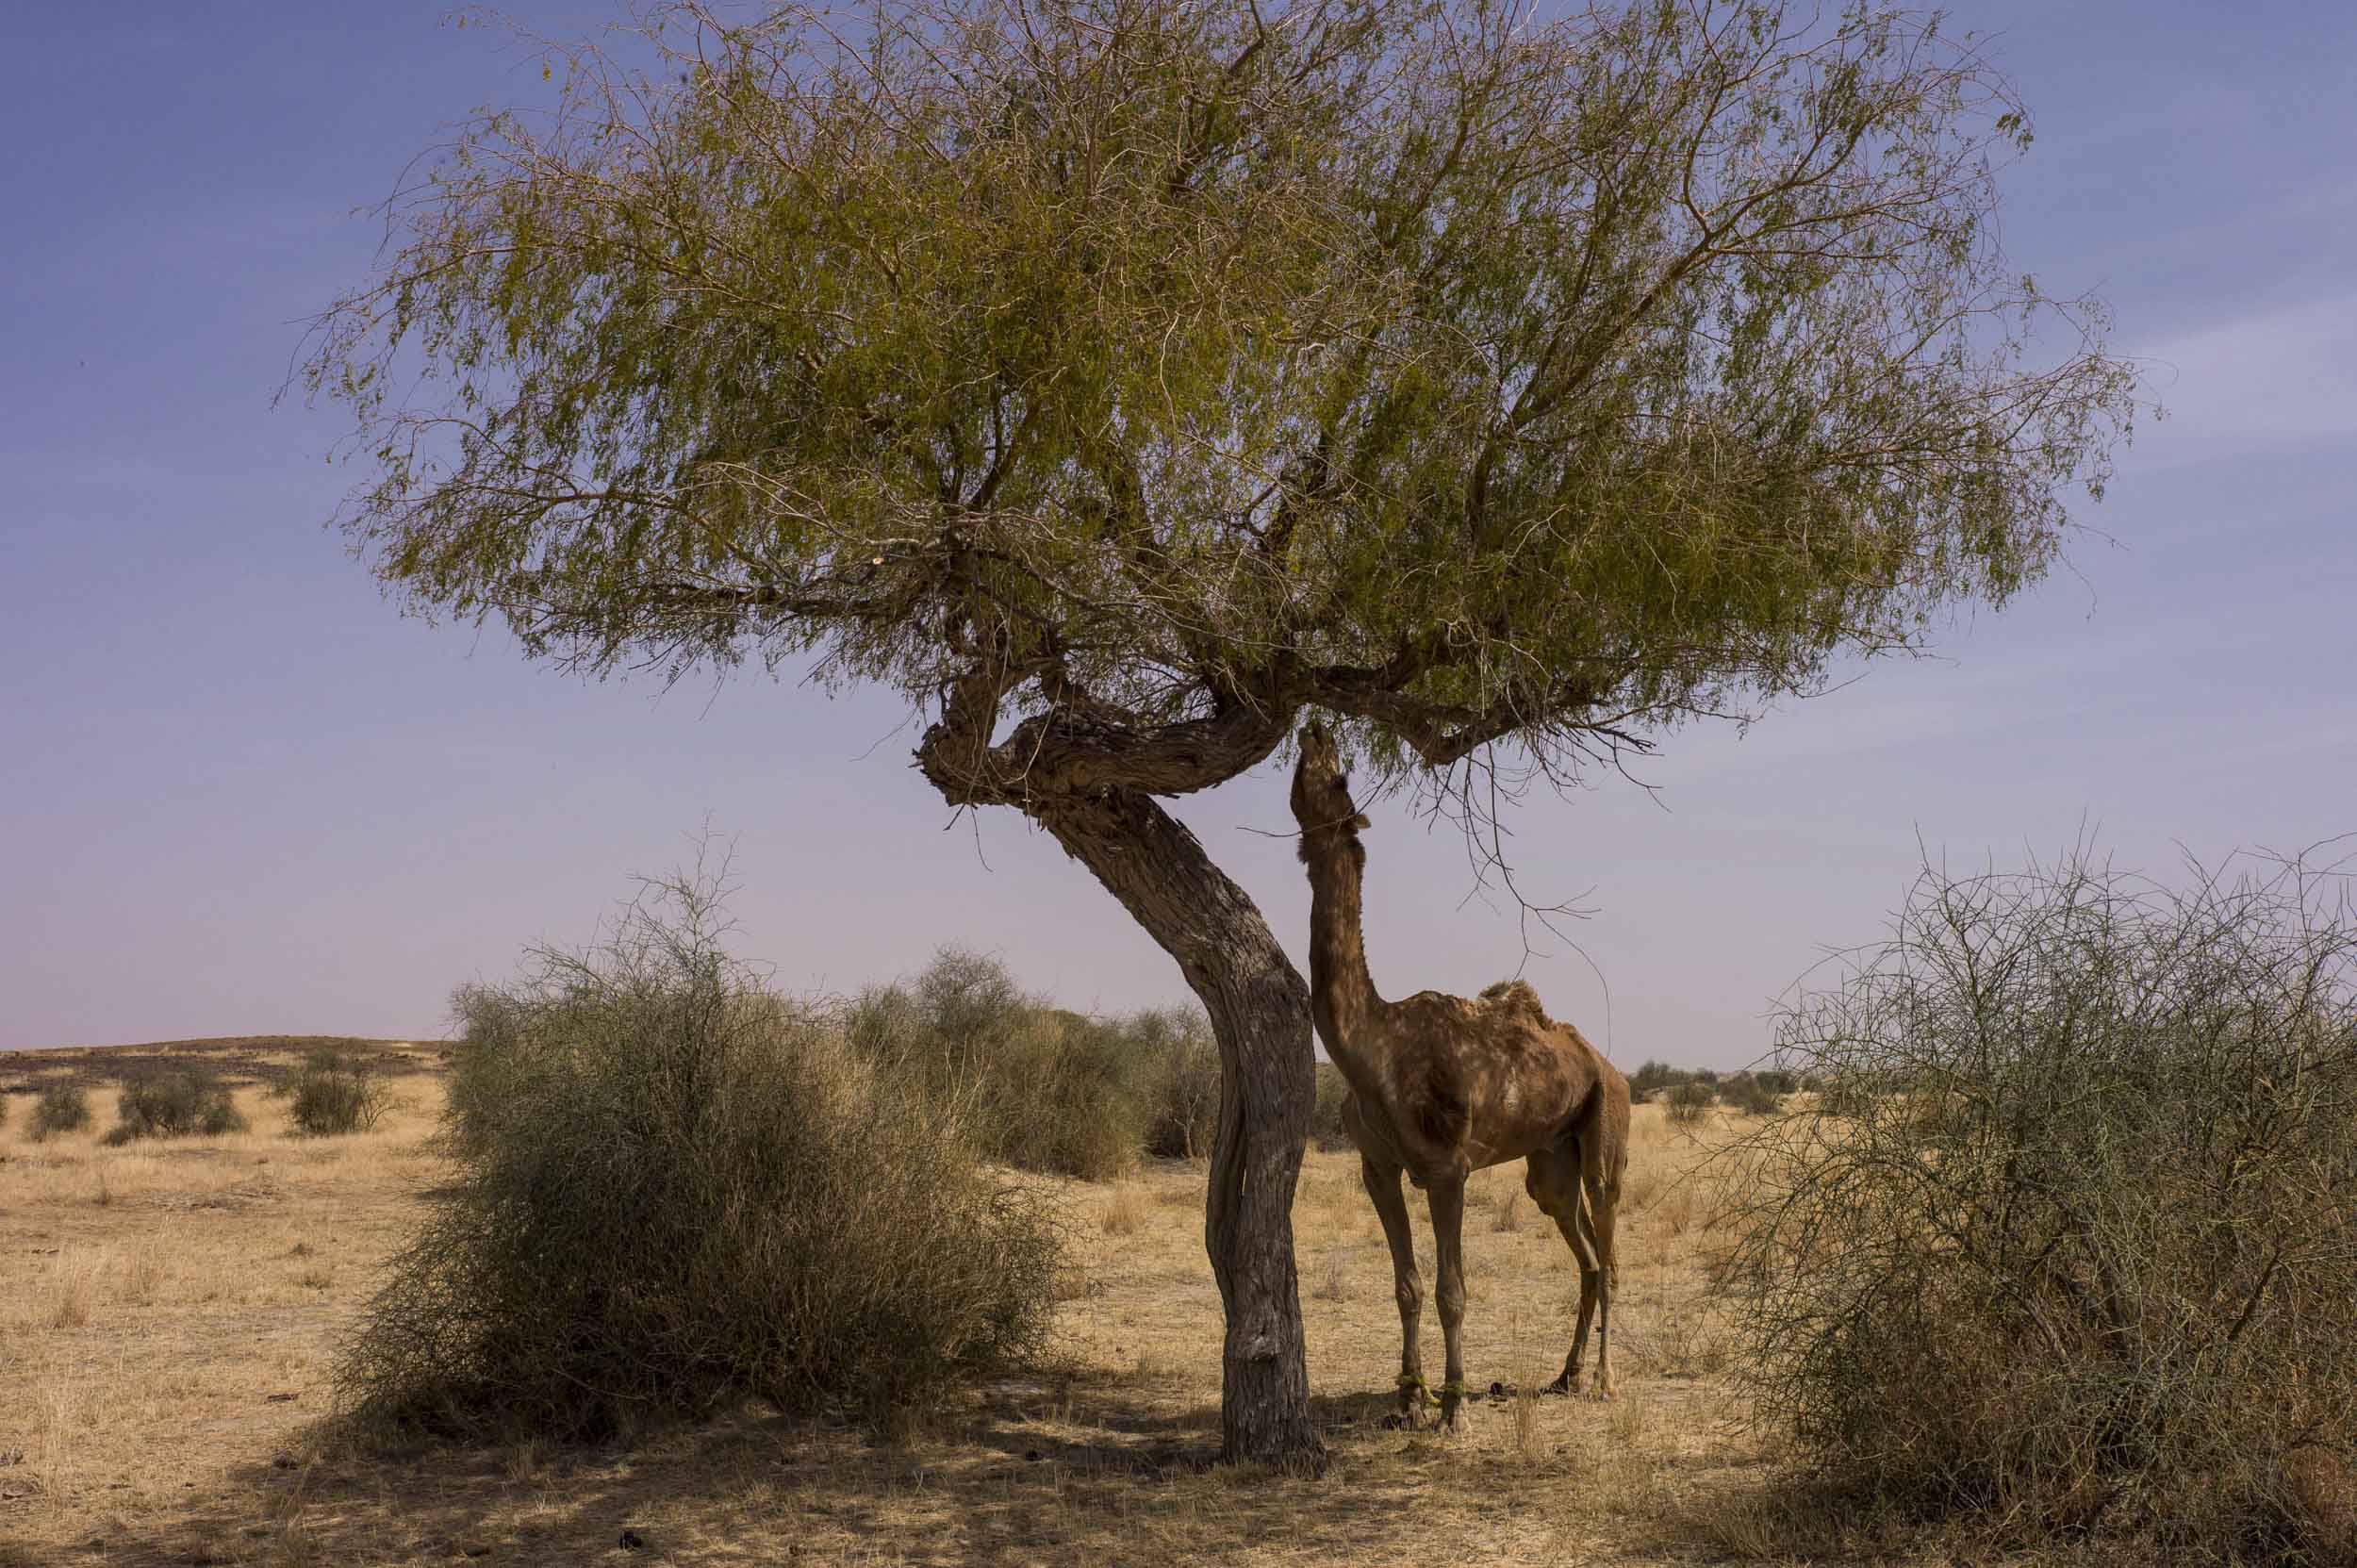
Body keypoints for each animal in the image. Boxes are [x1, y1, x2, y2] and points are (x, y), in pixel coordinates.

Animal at [1289, 721, 1630, 1430]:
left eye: (1341, 778)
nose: (1315, 729)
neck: (1375, 1049)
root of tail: (1608, 1066)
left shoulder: (1448, 1168)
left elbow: (1452, 1290)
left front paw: (1451, 1407)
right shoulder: (1377, 1165)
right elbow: (1406, 1285)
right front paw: (1407, 1398)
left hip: (1607, 1126)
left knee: (1608, 1248)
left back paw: (1605, 1381)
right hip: (1550, 1157)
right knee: (1582, 1250)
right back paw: (1564, 1375)